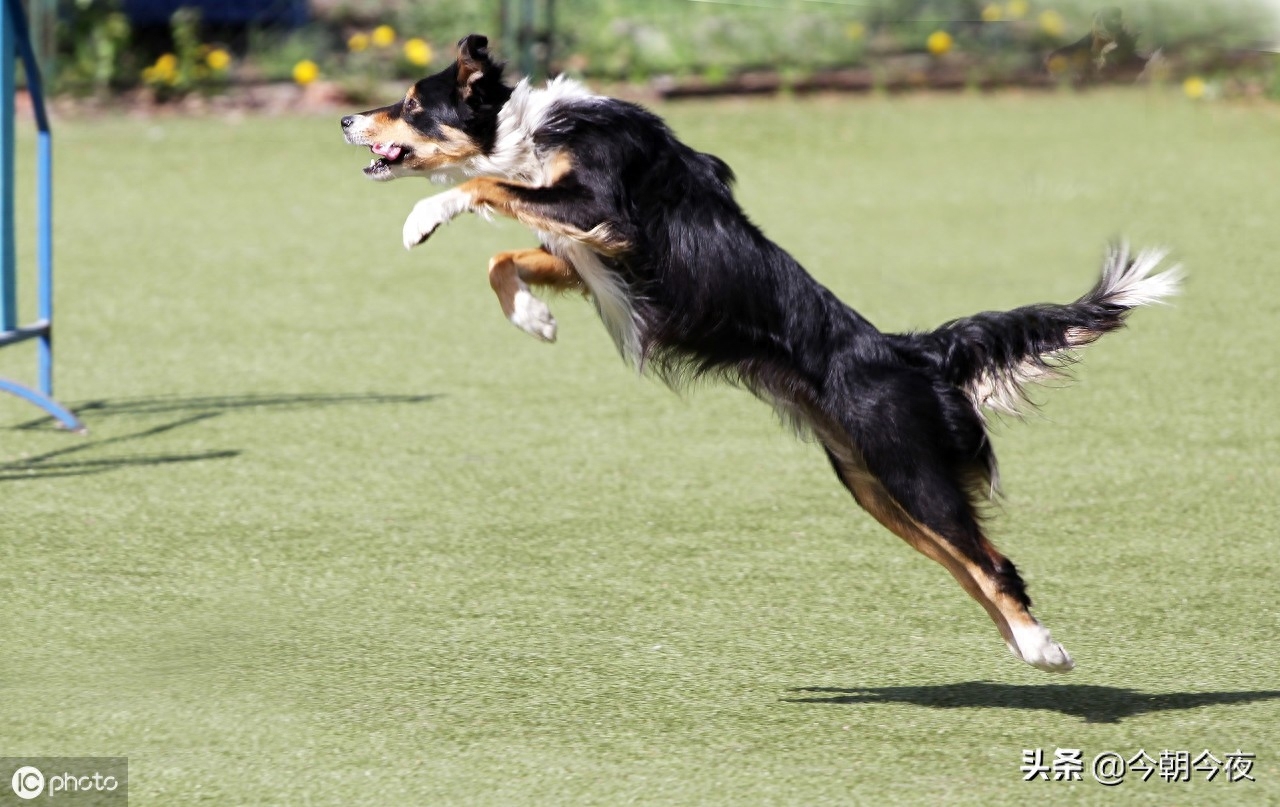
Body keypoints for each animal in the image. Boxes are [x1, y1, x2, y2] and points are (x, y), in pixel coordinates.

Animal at [337, 34, 1177, 671]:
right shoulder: (596, 254)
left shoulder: (604, 211)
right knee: (967, 564)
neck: (523, 129)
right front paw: (534, 320)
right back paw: (1029, 649)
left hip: (910, 468)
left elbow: (482, 189)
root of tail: (909, 352)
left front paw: (423, 217)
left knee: (992, 562)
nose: (345, 118)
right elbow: (502, 255)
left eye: (411, 105)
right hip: (875, 486)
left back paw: (1044, 647)